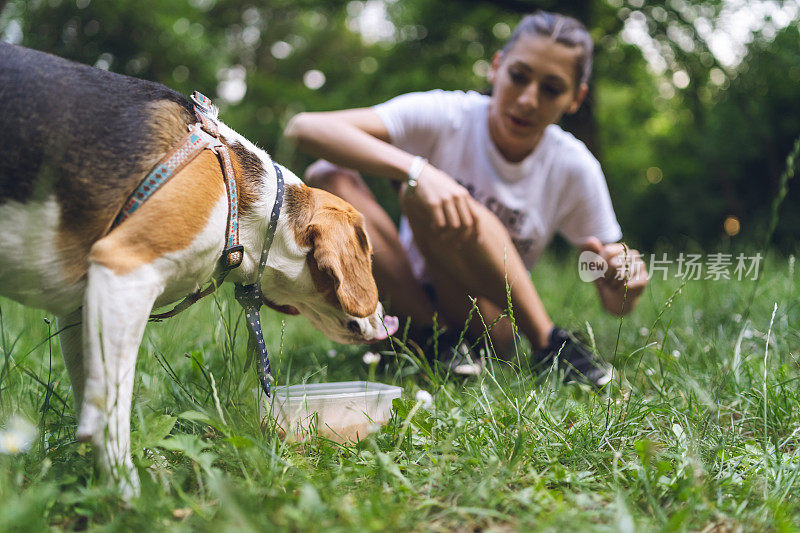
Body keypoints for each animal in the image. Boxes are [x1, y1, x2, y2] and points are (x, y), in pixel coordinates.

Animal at [0, 42, 398, 494]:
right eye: (369, 256)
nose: (386, 319)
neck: (241, 191)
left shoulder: (83, 308)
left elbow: (92, 397)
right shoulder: (124, 273)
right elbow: (110, 411)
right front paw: (128, 492)